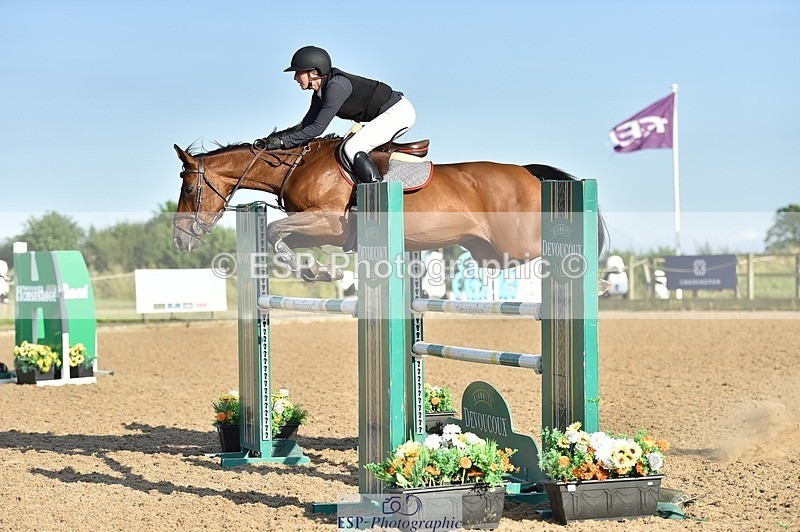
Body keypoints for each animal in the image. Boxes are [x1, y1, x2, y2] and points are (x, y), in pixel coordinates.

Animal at [173, 131, 605, 281]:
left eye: (189, 187)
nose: (181, 240)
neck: (296, 166)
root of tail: (528, 173)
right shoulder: (322, 230)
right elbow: (278, 239)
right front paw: (317, 271)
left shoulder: (328, 222)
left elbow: (276, 230)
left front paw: (318, 272)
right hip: (489, 253)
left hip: (515, 245)